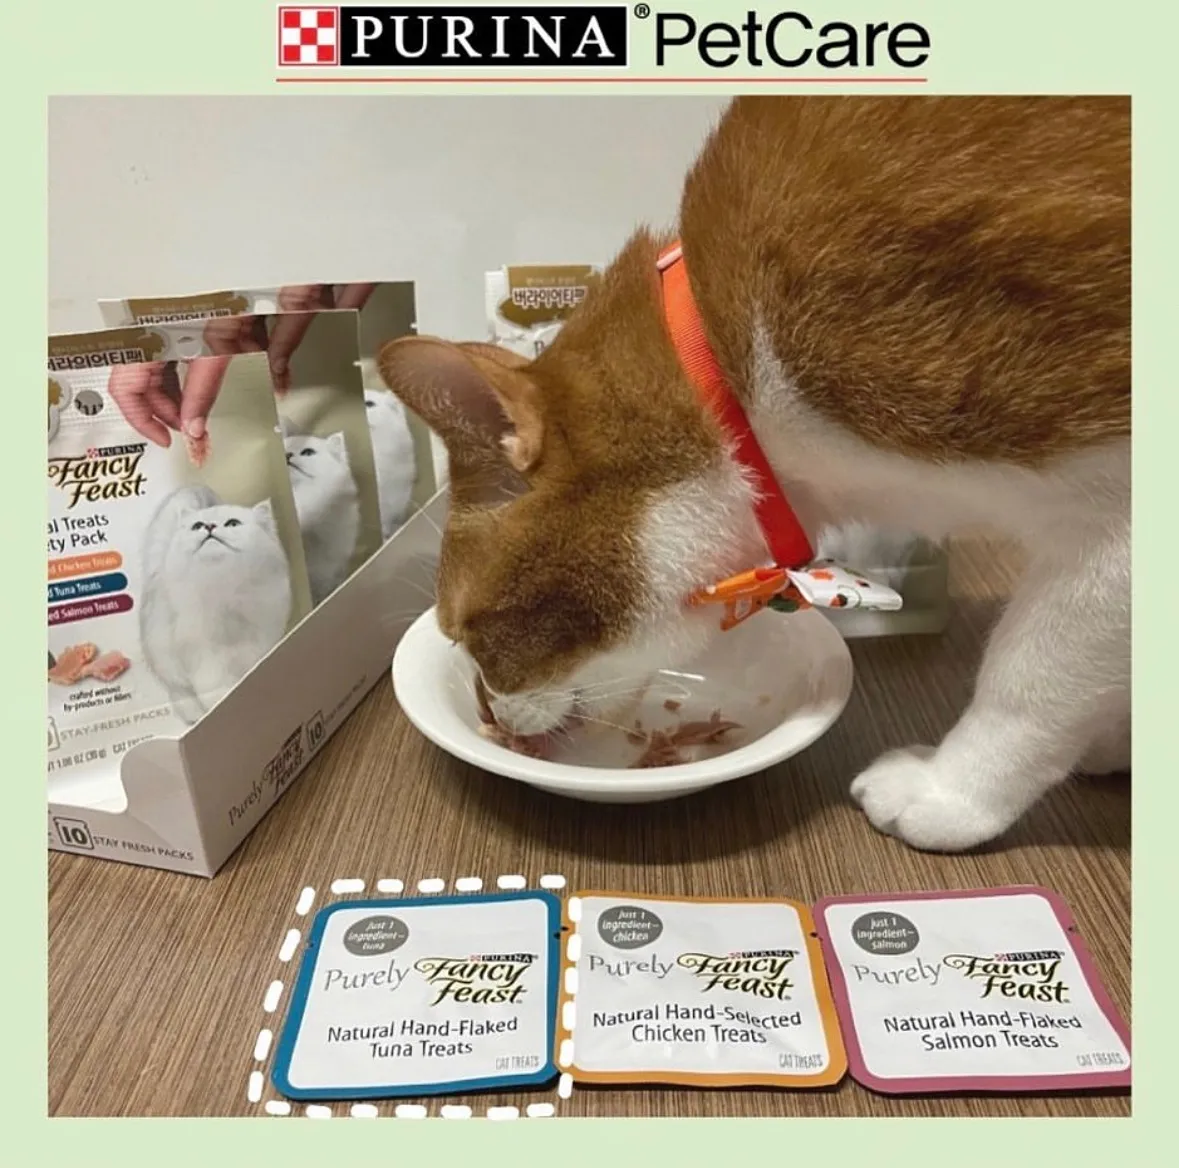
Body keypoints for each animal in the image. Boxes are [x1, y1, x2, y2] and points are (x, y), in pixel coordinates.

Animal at [141, 485, 292, 725]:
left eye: (233, 523)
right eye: (197, 526)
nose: (209, 526)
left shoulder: (257, 644)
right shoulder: (205, 658)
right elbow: (214, 689)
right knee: (181, 694)